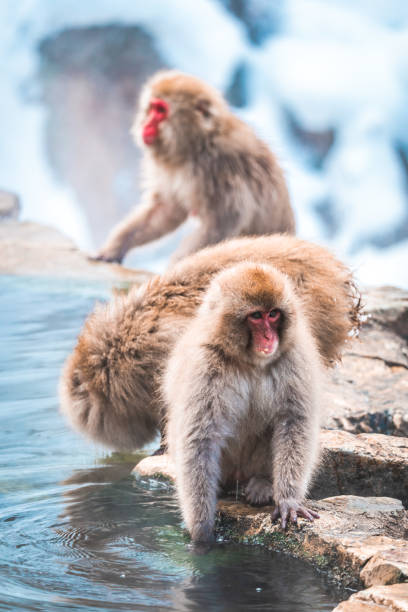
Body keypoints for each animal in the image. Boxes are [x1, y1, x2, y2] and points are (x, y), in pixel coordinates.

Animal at [164, 262, 324, 540]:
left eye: (274, 314)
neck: (250, 362)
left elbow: (294, 422)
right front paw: (201, 532)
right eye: (256, 316)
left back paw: (262, 483)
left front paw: (288, 500)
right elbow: (198, 438)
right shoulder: (203, 363)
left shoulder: (295, 356)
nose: (269, 337)